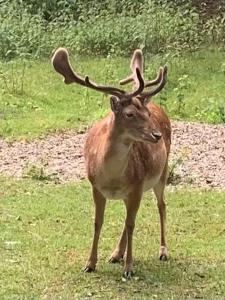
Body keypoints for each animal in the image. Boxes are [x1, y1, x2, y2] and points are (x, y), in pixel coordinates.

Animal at [51, 47, 171, 278]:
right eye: (130, 114)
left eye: (146, 114)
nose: (157, 135)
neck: (112, 177)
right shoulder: (95, 186)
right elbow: (98, 222)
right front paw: (90, 263)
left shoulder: (137, 185)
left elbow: (131, 223)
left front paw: (129, 268)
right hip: (132, 192)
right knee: (131, 215)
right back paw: (116, 253)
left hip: (161, 172)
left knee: (161, 205)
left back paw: (162, 251)